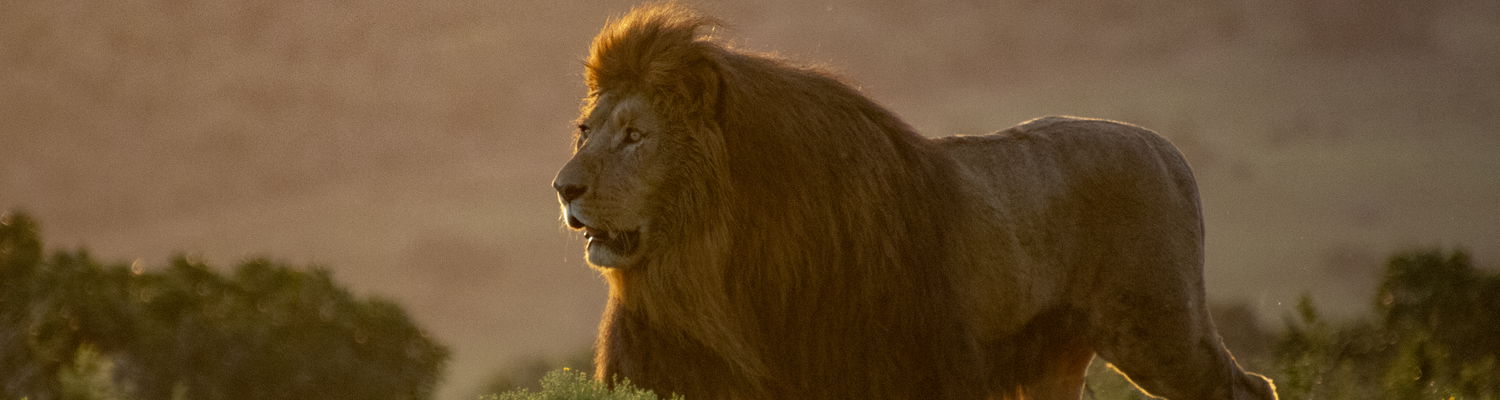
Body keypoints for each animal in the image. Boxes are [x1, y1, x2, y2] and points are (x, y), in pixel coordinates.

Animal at [552, 3, 1278, 400]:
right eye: (586, 132)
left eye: (635, 136)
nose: (564, 188)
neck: (703, 266)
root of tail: (1161, 145)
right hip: (1058, 356)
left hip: (1159, 329)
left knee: (1247, 387)